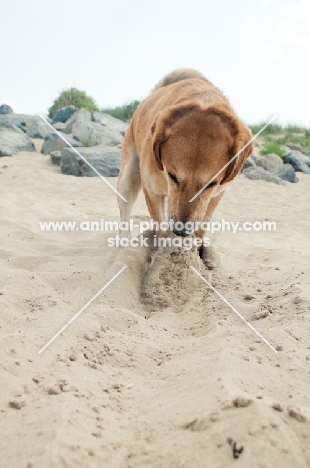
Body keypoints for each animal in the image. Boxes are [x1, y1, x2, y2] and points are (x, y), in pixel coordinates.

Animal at [117, 69, 253, 249]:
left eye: (211, 184)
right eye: (172, 176)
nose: (181, 231)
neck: (203, 99)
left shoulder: (216, 195)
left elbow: (201, 228)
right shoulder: (152, 192)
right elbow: (161, 229)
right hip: (127, 180)